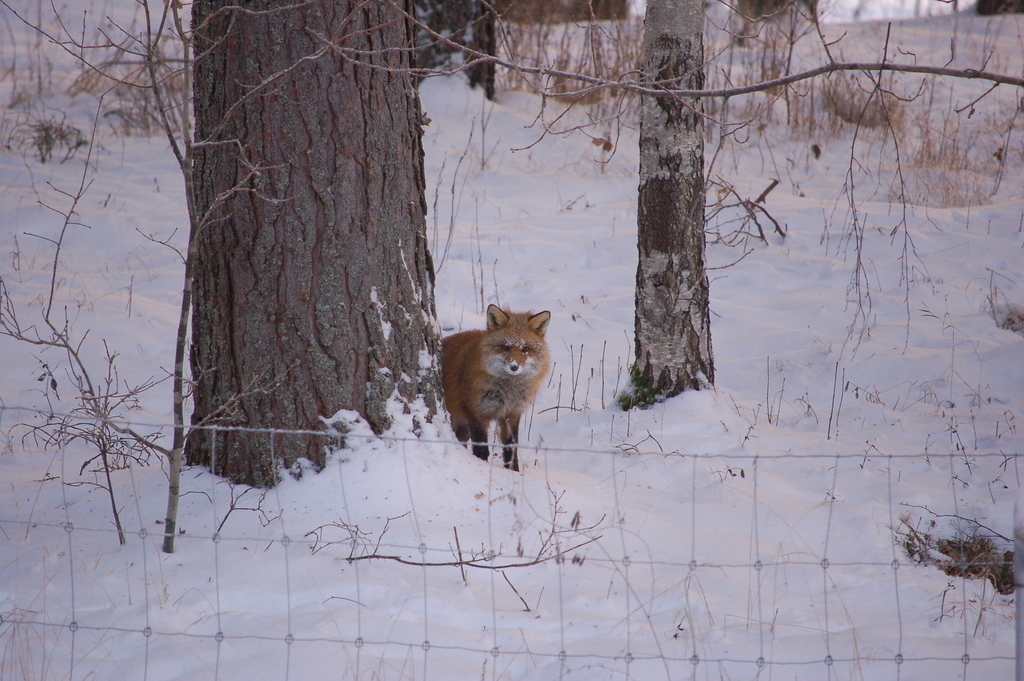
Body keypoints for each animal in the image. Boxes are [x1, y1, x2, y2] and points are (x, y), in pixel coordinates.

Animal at [440, 304, 552, 472]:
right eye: (504, 347)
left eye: (525, 349)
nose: (514, 367)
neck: (507, 392)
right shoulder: (476, 411)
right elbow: (481, 448)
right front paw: (483, 467)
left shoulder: (511, 414)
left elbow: (511, 449)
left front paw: (514, 472)